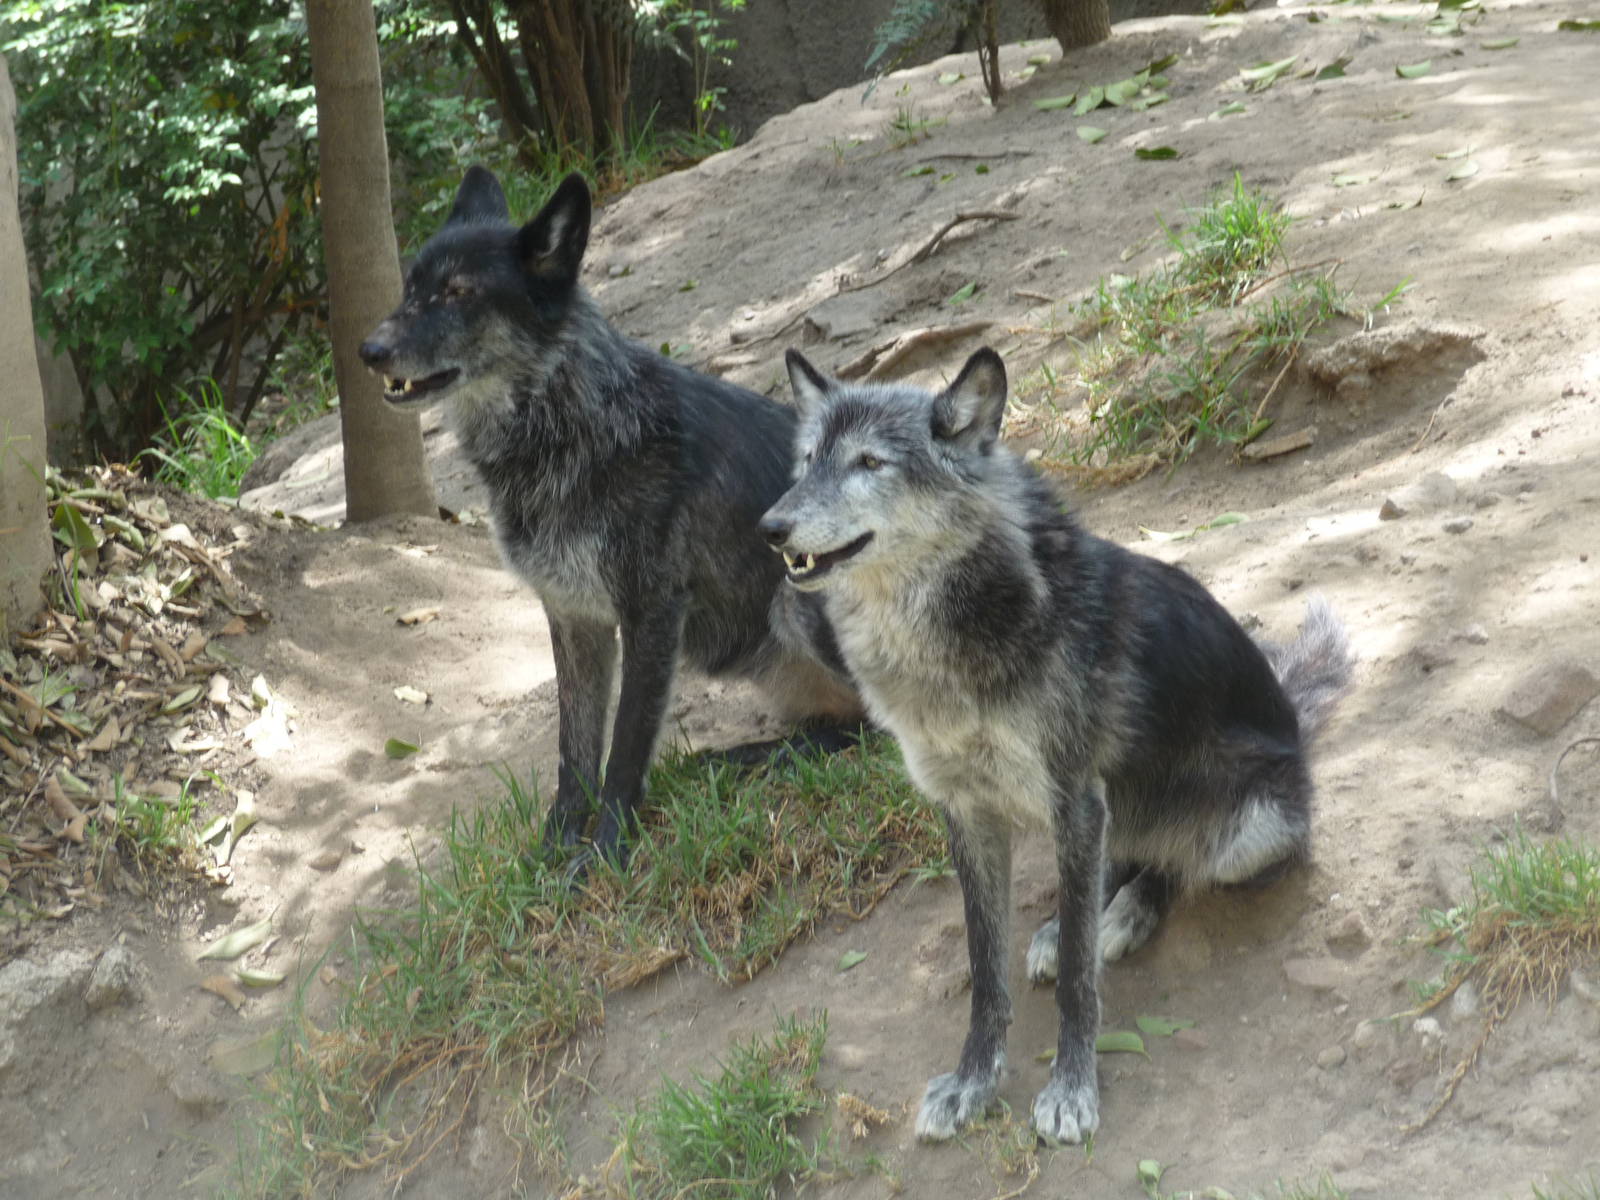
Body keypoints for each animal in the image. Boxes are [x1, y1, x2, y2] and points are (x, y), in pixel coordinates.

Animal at [358, 167, 860, 868]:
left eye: (458, 292)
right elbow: (574, 752)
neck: (568, 427)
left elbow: (623, 747)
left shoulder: (651, 611)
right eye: (411, 289)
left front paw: (603, 857)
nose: (368, 350)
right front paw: (552, 854)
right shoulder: (574, 617)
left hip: (795, 599)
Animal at [759, 348, 1352, 1144]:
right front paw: (973, 1082)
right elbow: (986, 971)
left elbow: (1077, 980)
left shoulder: (1073, 798)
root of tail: (1293, 717)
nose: (770, 526)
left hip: (1243, 829)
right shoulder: (970, 812)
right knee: (1119, 860)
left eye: (869, 462)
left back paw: (1122, 916)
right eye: (806, 462)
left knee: (1174, 862)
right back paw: (1066, 922)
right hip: (1107, 811)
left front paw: (1072, 1089)